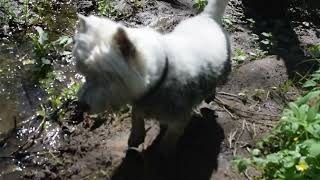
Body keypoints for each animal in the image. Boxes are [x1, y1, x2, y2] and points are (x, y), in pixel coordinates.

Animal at [73, 0, 230, 153]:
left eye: (106, 77)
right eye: (85, 74)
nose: (81, 105)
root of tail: (207, 17)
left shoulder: (180, 117)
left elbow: (170, 138)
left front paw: (163, 152)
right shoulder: (139, 102)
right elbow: (136, 117)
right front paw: (136, 137)